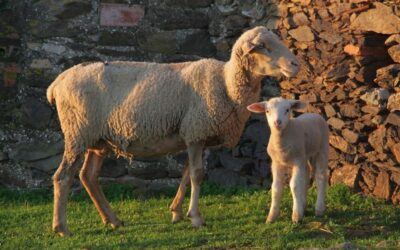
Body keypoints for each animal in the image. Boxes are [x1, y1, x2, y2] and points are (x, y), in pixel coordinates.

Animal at [47, 26, 298, 237]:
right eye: (263, 46)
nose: (296, 64)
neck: (226, 85)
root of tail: (57, 82)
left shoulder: (196, 135)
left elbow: (186, 174)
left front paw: (176, 212)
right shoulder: (196, 132)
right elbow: (197, 175)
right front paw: (196, 218)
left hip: (99, 140)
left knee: (88, 176)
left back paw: (112, 220)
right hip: (78, 133)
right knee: (63, 177)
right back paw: (62, 228)